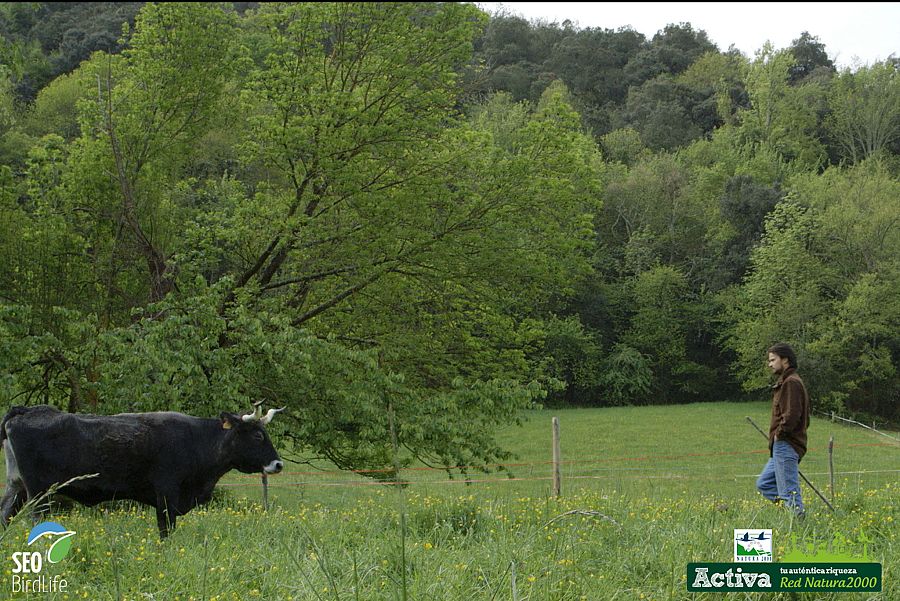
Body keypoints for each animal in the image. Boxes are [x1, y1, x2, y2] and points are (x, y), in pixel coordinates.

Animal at [1, 403, 284, 538]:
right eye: (258, 435)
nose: (278, 464)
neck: (197, 440)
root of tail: (27, 410)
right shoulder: (166, 495)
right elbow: (165, 531)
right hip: (39, 493)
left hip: (17, 487)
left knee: (5, 516)